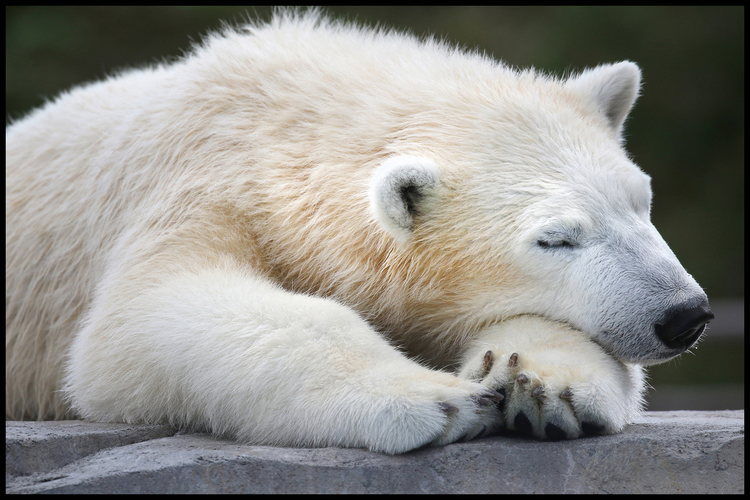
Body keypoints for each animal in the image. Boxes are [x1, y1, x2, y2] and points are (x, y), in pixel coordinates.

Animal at [5, 8, 712, 454]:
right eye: (557, 238)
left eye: (642, 202)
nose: (684, 315)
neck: (284, 131)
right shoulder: (199, 189)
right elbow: (139, 325)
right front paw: (441, 399)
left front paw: (540, 385)